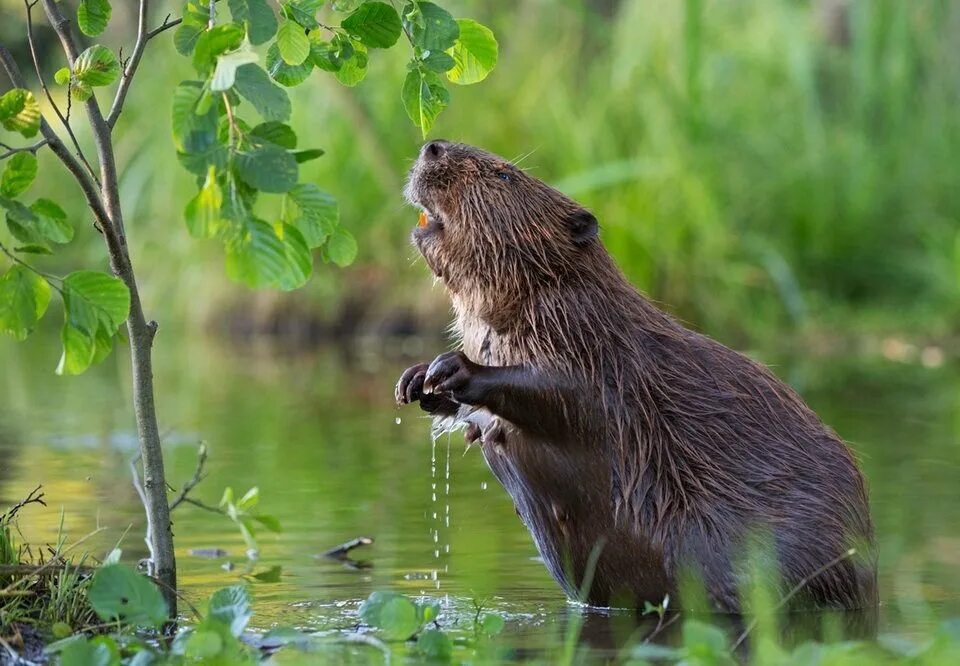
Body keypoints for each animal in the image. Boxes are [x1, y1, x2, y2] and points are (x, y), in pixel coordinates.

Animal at [392, 140, 876, 612]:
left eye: (504, 174)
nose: (432, 146)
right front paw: (416, 381)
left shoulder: (596, 344)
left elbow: (564, 395)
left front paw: (453, 367)